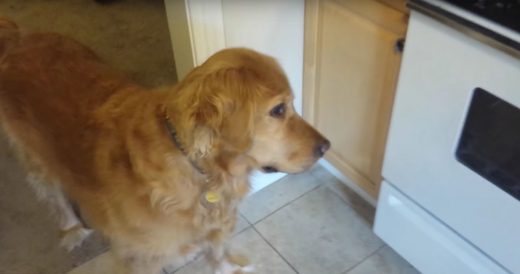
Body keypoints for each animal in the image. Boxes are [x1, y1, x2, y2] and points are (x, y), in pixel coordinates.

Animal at [0, 18, 332, 272]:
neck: (203, 172)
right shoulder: (142, 257)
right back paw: (72, 228)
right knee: (51, 192)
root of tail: (19, 36)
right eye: (278, 110)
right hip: (35, 155)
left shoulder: (218, 227)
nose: (326, 147)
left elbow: (218, 252)